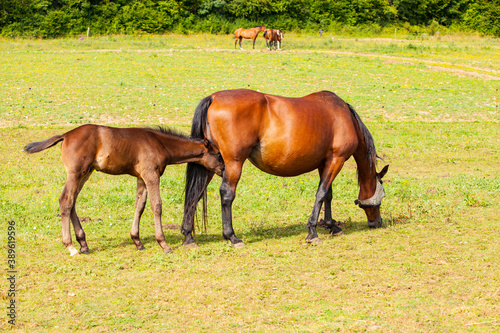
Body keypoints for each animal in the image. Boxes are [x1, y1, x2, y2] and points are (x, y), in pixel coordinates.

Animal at [24, 123, 224, 255]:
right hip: (76, 173)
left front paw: (137, 241)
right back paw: (71, 246)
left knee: (72, 201)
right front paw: (164, 244)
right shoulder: (151, 175)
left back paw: (83, 244)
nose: (224, 170)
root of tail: (66, 135)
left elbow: (140, 206)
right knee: (65, 199)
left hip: (85, 173)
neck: (160, 143)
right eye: (217, 155)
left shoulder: (141, 178)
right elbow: (156, 206)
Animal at [182, 89, 388, 248]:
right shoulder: (337, 160)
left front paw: (332, 226)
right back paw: (232, 237)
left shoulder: (325, 163)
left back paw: (188, 236)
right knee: (226, 194)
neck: (344, 116)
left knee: (195, 193)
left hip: (210, 163)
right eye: (383, 194)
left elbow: (327, 195)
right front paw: (313, 232)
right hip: (233, 163)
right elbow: (321, 194)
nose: (377, 222)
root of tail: (214, 97)